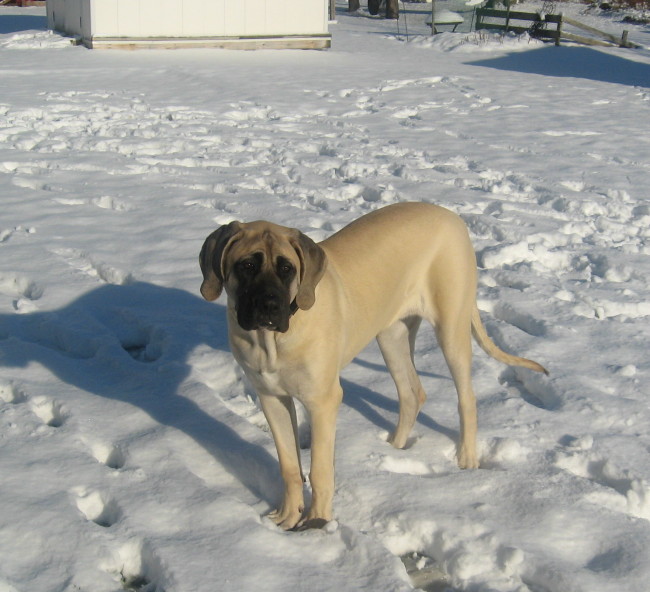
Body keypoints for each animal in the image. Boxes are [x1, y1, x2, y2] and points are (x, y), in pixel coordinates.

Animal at [200, 201, 544, 528]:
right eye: (246, 266)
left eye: (287, 269)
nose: (270, 306)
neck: (270, 341)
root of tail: (452, 216)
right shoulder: (271, 398)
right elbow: (289, 465)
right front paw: (288, 514)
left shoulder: (323, 401)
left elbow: (320, 468)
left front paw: (317, 520)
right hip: (392, 335)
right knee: (412, 393)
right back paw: (393, 448)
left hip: (451, 327)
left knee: (466, 398)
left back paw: (467, 458)